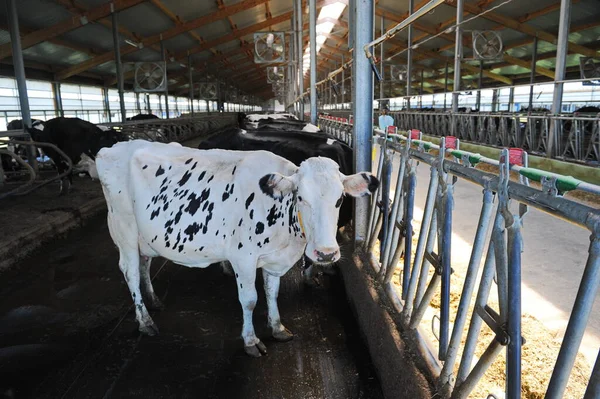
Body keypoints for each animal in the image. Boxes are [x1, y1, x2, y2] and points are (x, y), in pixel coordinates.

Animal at [96, 140, 378, 356]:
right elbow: (250, 299)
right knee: (131, 272)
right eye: (300, 197)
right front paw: (251, 341)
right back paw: (145, 321)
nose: (326, 253)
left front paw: (277, 328)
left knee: (144, 264)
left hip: (145, 237)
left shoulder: (273, 259)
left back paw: (154, 301)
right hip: (125, 230)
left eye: (340, 199)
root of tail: (113, 148)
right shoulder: (243, 258)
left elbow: (272, 293)